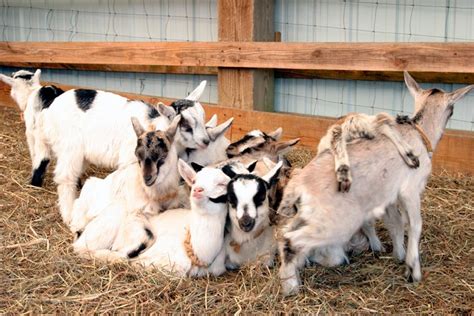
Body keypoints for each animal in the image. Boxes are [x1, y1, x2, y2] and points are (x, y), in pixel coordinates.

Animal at [276, 70, 472, 296]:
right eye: (452, 110)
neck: (420, 135)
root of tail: (299, 183)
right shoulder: (410, 190)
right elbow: (415, 224)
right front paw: (413, 269)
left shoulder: (391, 196)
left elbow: (397, 223)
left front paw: (398, 254)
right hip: (336, 222)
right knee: (291, 241)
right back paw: (291, 287)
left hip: (306, 214)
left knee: (283, 233)